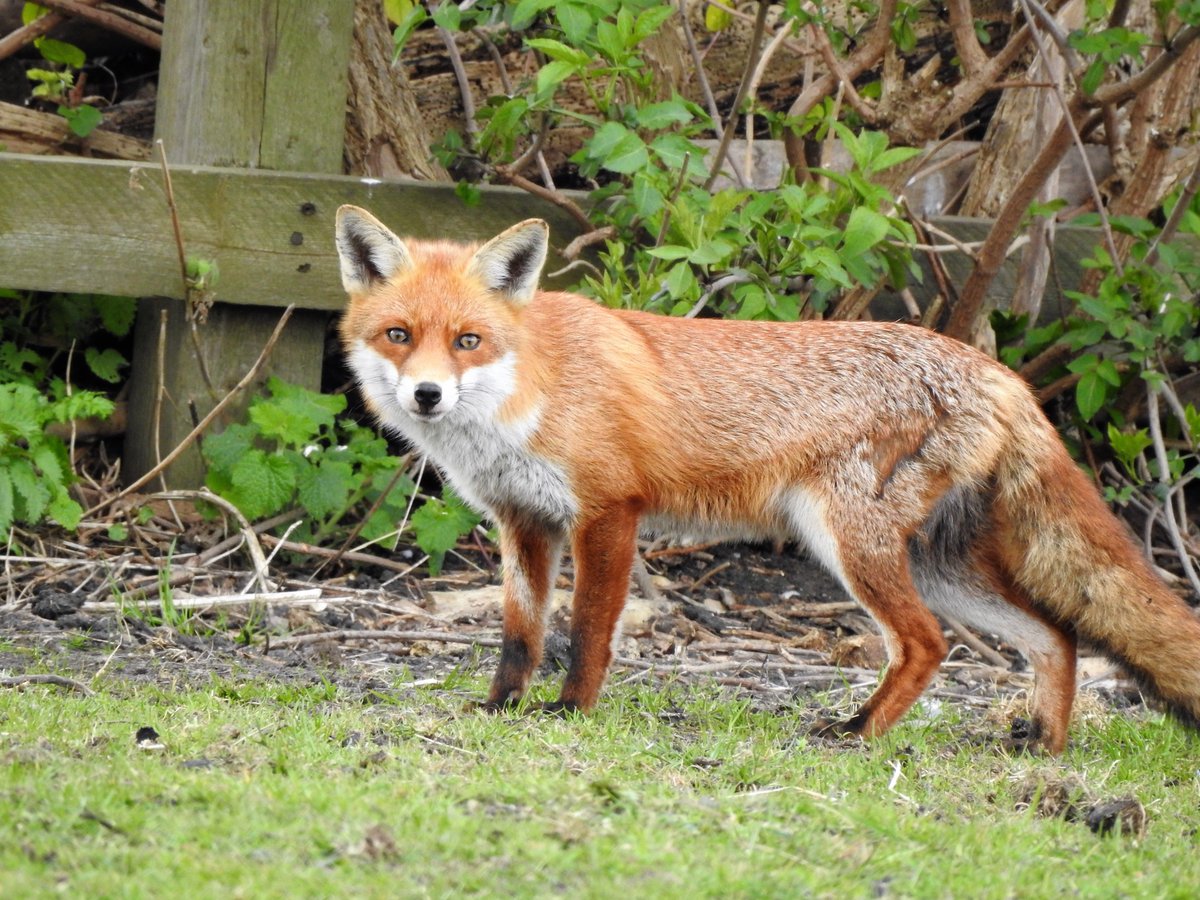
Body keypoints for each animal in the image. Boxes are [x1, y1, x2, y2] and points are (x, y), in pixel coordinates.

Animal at [333, 204, 1200, 753]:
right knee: (1054, 635)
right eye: (400, 335)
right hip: (936, 564)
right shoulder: (525, 521)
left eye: (468, 341)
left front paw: (569, 713)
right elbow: (520, 633)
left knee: (928, 646)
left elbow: (585, 635)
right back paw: (1043, 745)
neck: (531, 386)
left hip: (849, 543)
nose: (426, 395)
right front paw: (500, 708)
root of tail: (996, 370)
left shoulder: (608, 513)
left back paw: (856, 733)